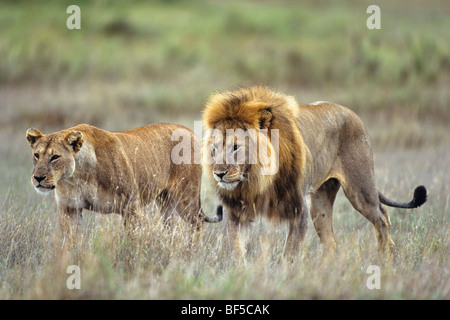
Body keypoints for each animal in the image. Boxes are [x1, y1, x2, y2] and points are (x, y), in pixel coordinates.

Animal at [25, 122, 221, 238]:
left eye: (55, 157)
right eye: (37, 155)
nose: (38, 178)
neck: (78, 175)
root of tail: (188, 130)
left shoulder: (131, 208)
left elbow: (132, 241)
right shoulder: (70, 210)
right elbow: (75, 242)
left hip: (185, 197)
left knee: (197, 223)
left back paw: (192, 252)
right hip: (164, 200)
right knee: (170, 225)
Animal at [202, 85, 428, 255]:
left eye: (236, 147)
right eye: (215, 147)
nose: (219, 173)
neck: (257, 178)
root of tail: (352, 113)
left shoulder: (298, 209)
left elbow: (289, 253)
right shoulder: (235, 211)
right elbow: (235, 249)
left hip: (360, 190)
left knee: (381, 216)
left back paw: (386, 258)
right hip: (320, 202)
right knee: (330, 242)